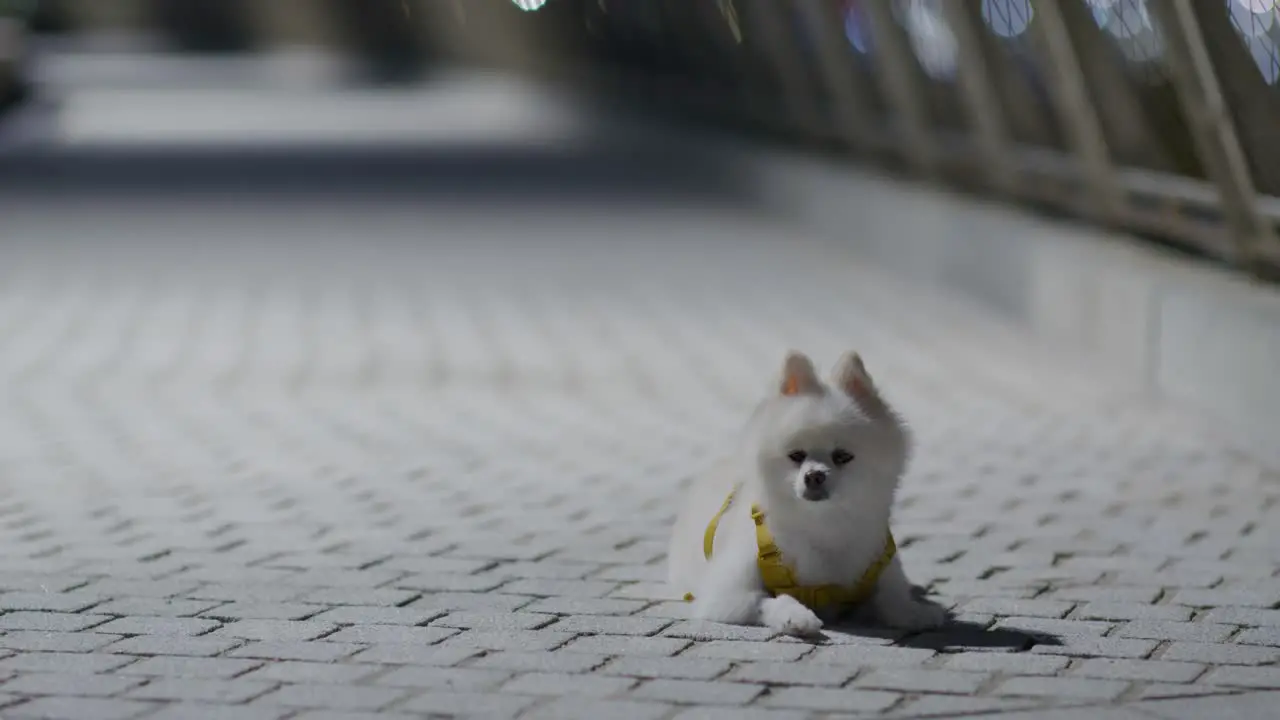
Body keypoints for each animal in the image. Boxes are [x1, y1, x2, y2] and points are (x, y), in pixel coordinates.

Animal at [670, 348, 952, 632]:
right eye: (796, 456)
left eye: (842, 456)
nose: (814, 475)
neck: (822, 524)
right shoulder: (726, 594)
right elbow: (770, 599)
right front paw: (796, 616)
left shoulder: (879, 568)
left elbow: (891, 599)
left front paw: (916, 611)